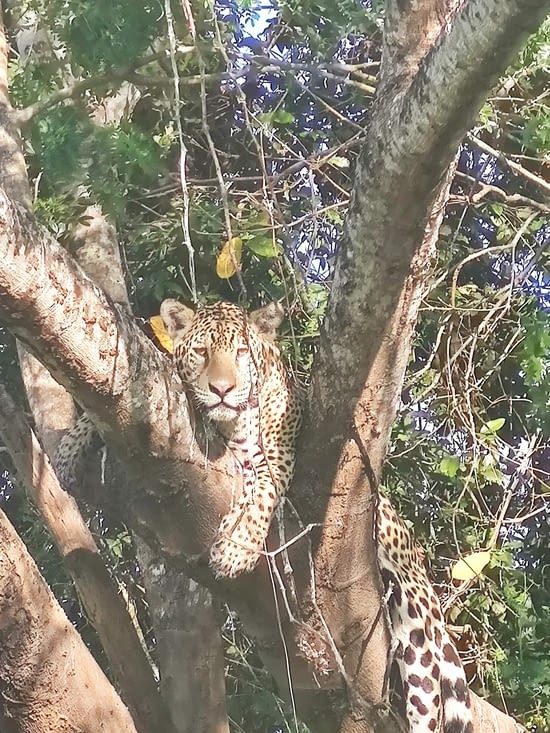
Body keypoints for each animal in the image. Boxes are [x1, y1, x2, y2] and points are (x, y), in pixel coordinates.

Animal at [160, 298, 303, 579]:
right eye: (201, 351)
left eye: (241, 351)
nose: (222, 389)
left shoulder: (277, 453)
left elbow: (262, 493)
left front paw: (237, 547)